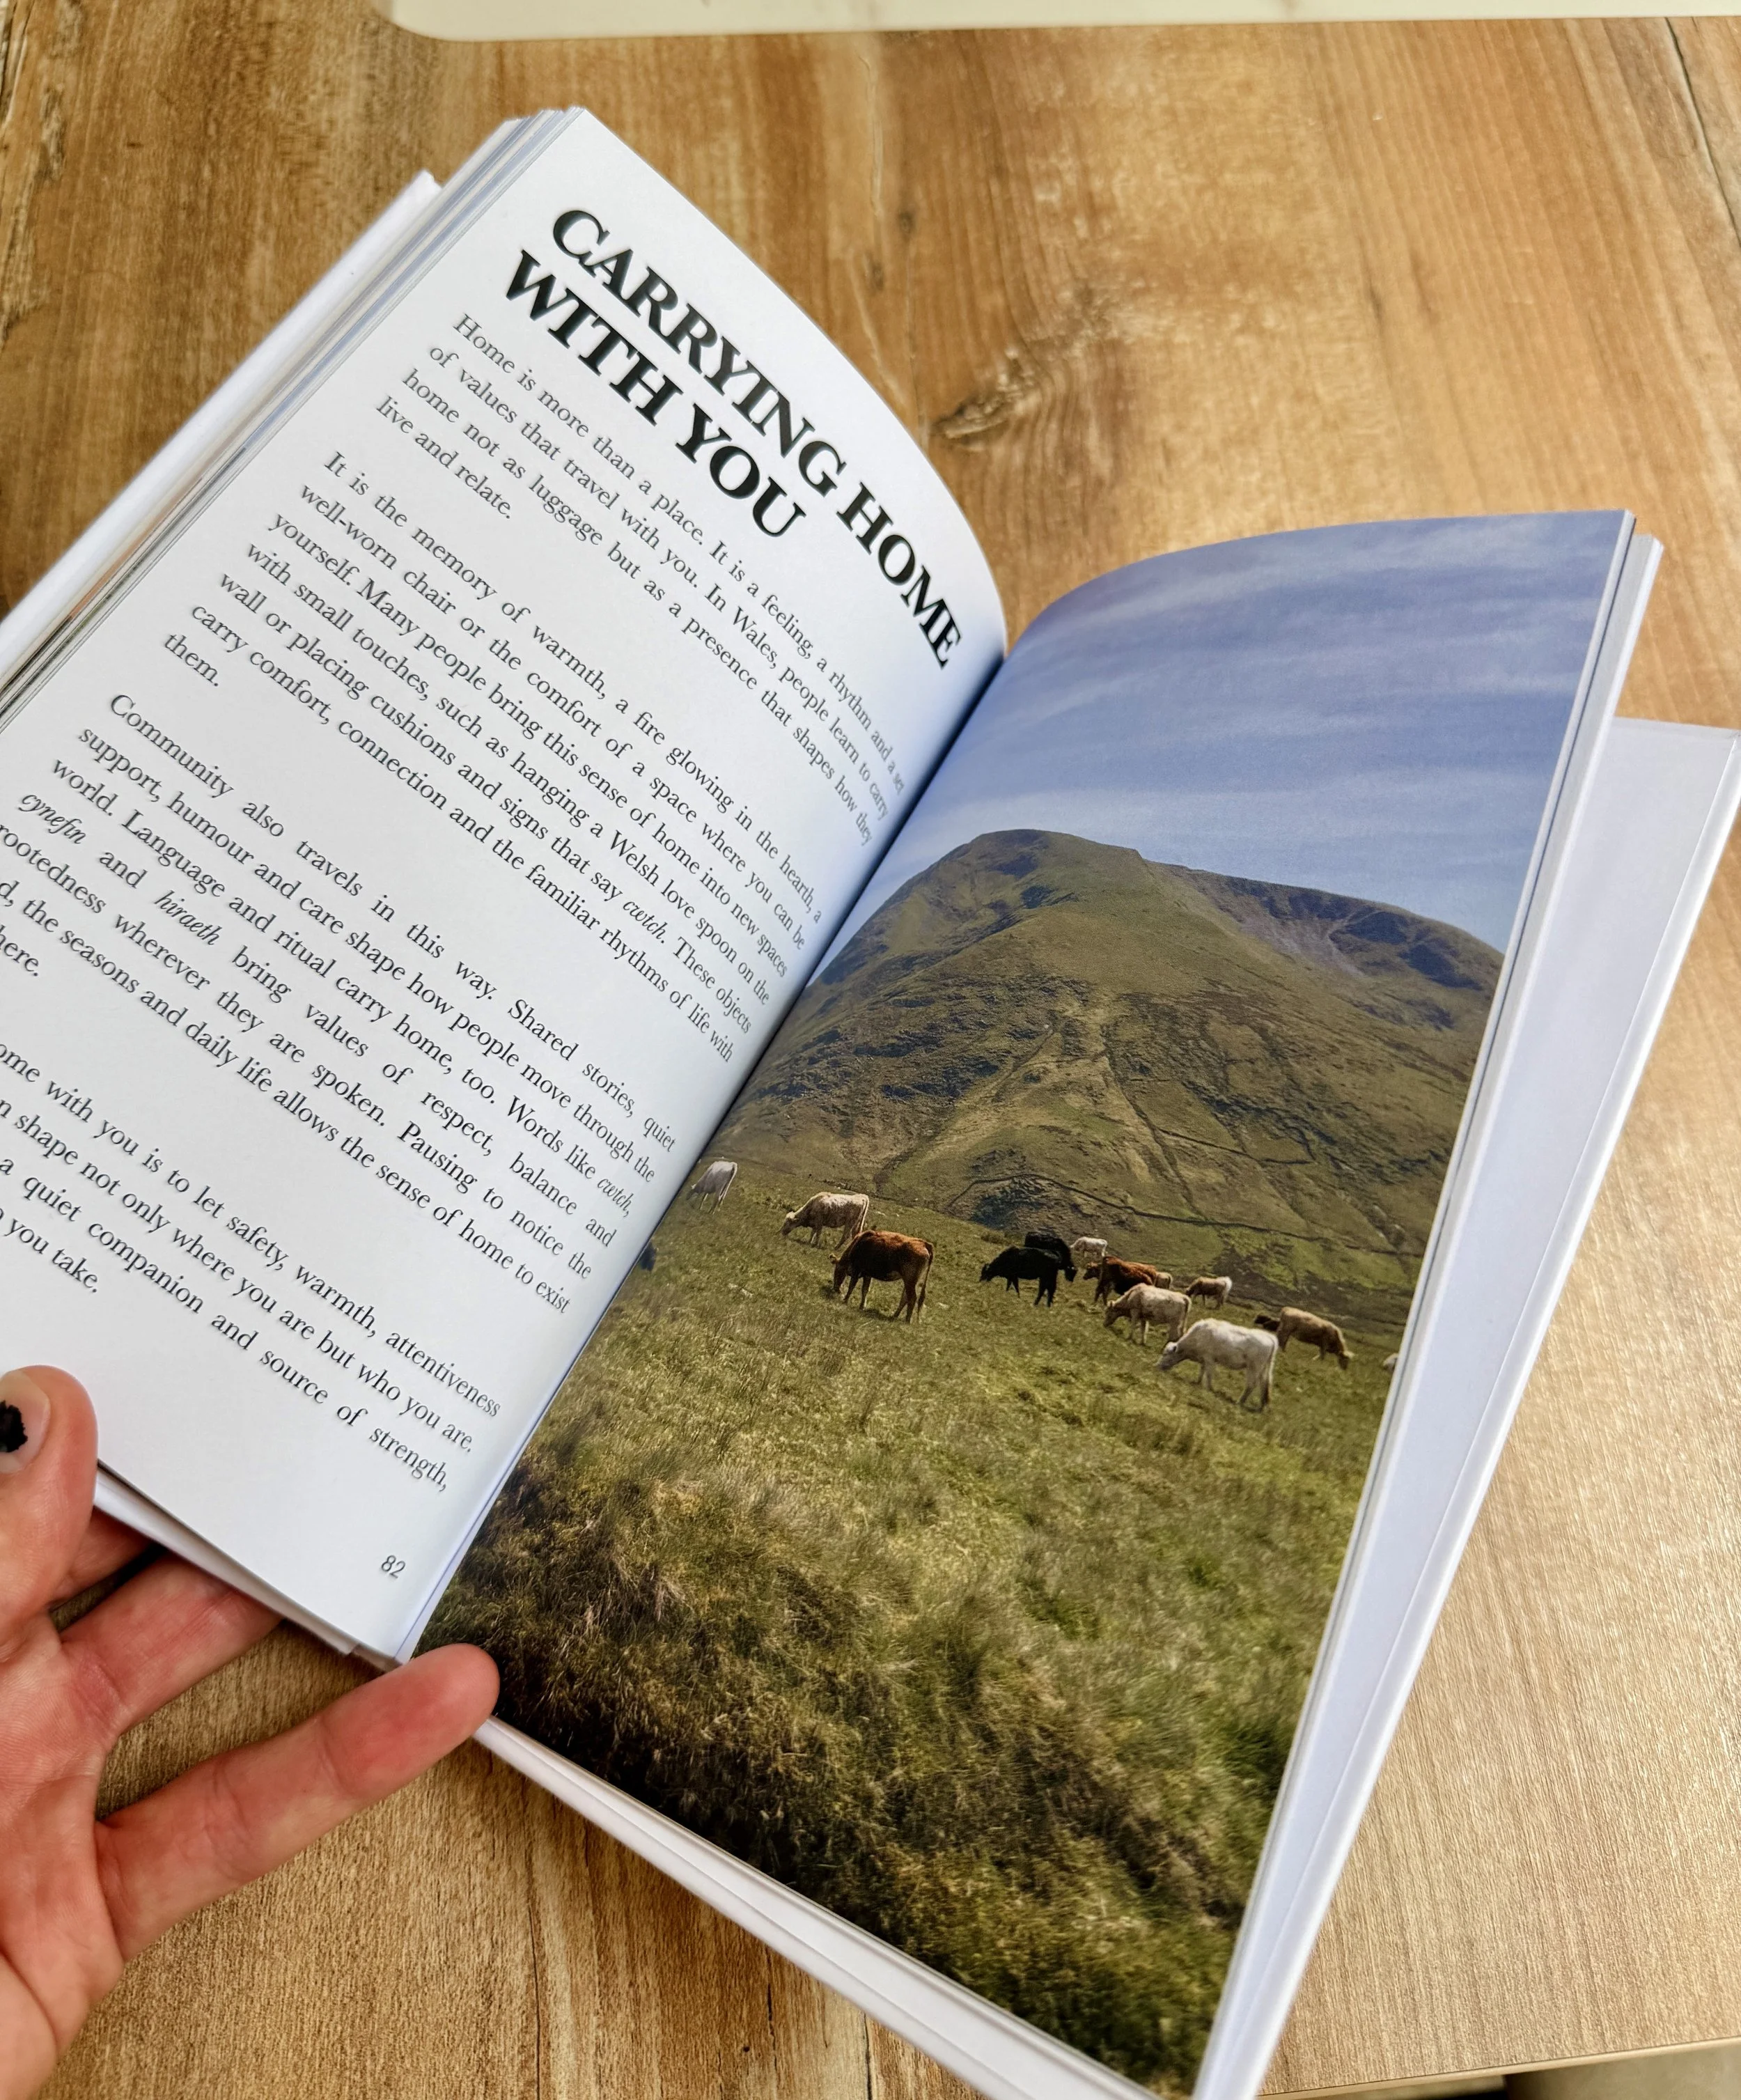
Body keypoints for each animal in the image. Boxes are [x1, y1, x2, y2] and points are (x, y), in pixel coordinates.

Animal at [834, 1229, 933, 1322]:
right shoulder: (868, 1274)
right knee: (905, 1298)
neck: (858, 1244)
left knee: (912, 1298)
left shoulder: (857, 1269)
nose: (835, 1289)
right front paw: (862, 1306)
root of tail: (924, 1244)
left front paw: (845, 1300)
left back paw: (907, 1320)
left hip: (910, 1280)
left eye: (837, 1272)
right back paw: (894, 1316)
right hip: (910, 1281)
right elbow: (865, 1290)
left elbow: (852, 1286)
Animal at [1158, 1320, 1278, 1413]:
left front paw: (1209, 1389)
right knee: (1264, 1385)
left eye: (1166, 1354)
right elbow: (1202, 1371)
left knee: (1251, 1384)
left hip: (1254, 1367)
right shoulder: (1204, 1359)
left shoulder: (1209, 1358)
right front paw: (1197, 1382)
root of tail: (1269, 1337)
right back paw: (1261, 1407)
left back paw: (1239, 1402)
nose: (1157, 1366)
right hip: (1264, 1369)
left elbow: (1209, 1374)